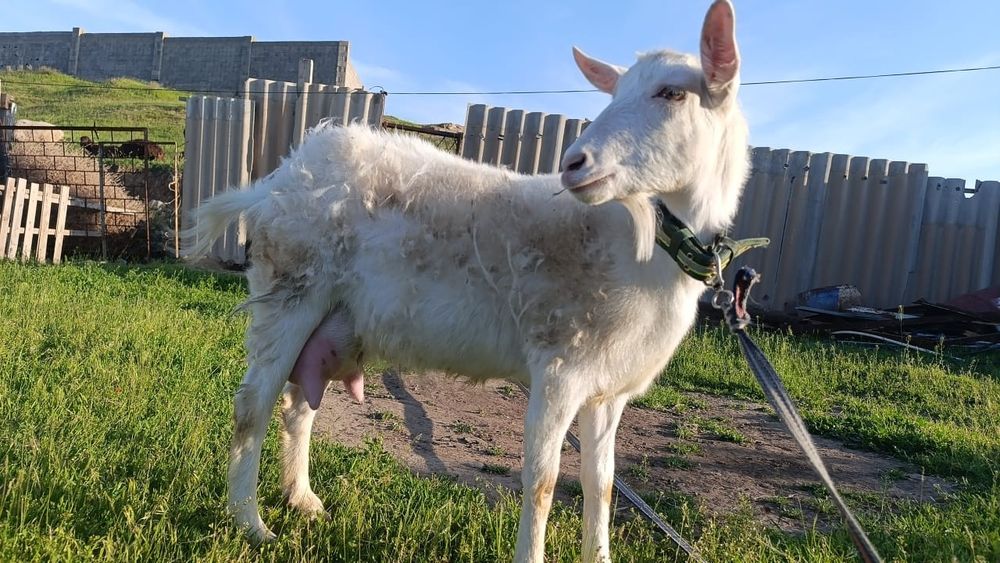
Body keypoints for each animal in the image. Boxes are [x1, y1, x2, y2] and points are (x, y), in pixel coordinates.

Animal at [188, 2, 748, 561]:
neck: (641, 243)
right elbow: (542, 483)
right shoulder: (559, 368)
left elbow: (602, 484)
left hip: (332, 320)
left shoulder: (607, 391)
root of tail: (277, 181)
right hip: (289, 290)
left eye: (672, 92)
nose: (574, 164)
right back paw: (251, 522)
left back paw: (302, 499)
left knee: (300, 404)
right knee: (253, 404)